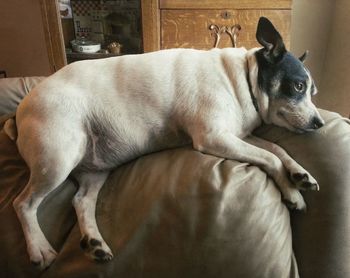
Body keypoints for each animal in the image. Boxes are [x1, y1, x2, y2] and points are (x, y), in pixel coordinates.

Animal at [4, 17, 324, 270]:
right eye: (298, 86)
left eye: (313, 92)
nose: (319, 123)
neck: (244, 78)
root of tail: (19, 112)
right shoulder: (215, 137)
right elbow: (270, 157)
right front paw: (291, 192)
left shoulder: (238, 136)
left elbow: (277, 149)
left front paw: (300, 174)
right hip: (58, 159)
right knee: (23, 204)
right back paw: (39, 248)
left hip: (94, 170)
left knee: (80, 200)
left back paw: (95, 242)